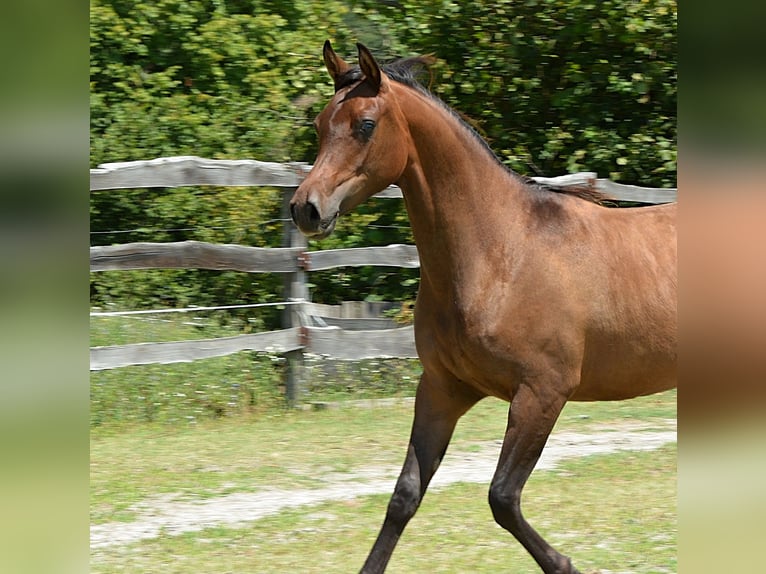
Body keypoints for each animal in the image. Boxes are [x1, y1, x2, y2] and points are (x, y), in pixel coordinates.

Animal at [292, 42, 680, 572]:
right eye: (319, 123)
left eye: (365, 124)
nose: (305, 209)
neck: (499, 254)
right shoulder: (442, 390)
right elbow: (405, 495)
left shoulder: (542, 393)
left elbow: (502, 497)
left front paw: (565, 563)